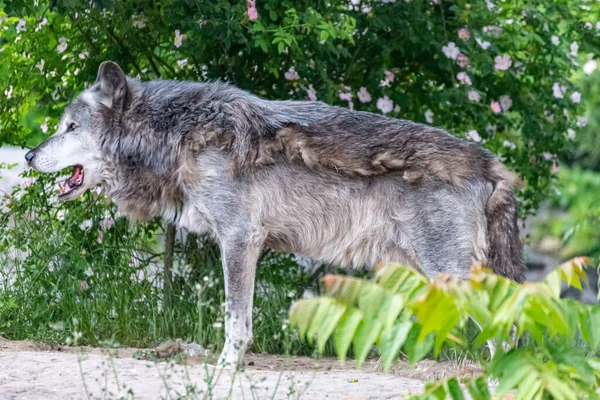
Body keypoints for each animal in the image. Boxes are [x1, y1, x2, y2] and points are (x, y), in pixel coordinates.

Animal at [25, 60, 524, 368]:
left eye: (70, 128)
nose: (28, 154)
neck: (176, 135)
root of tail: (490, 162)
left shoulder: (239, 240)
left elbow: (235, 319)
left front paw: (227, 369)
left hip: (448, 274)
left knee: (506, 329)